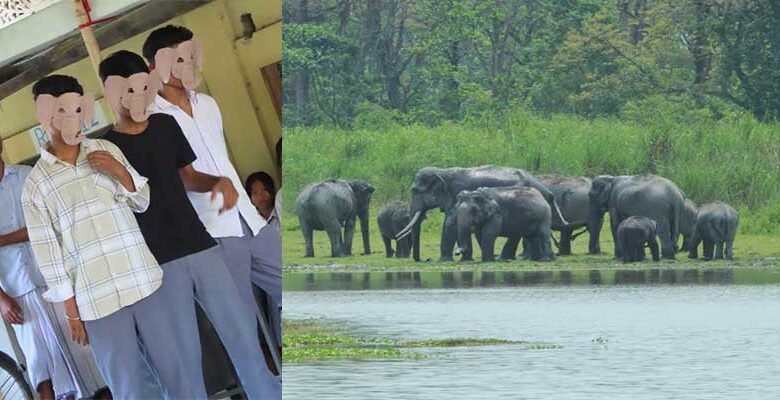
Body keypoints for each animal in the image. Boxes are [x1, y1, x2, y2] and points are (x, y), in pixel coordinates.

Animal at [396, 165, 568, 262]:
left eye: (415, 191)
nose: (425, 259)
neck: (444, 172)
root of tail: (548, 192)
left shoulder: (456, 193)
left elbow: (451, 223)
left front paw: (445, 261)